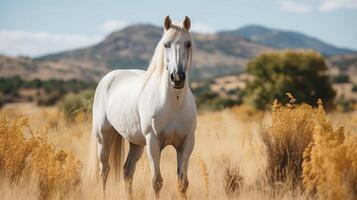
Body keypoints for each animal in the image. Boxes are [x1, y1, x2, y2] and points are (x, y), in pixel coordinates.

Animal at [88, 16, 196, 198]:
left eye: (188, 43)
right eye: (166, 44)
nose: (177, 78)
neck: (174, 103)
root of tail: (108, 78)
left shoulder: (187, 142)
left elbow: (182, 184)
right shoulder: (153, 142)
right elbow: (157, 182)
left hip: (136, 143)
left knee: (127, 171)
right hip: (104, 137)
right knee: (104, 171)